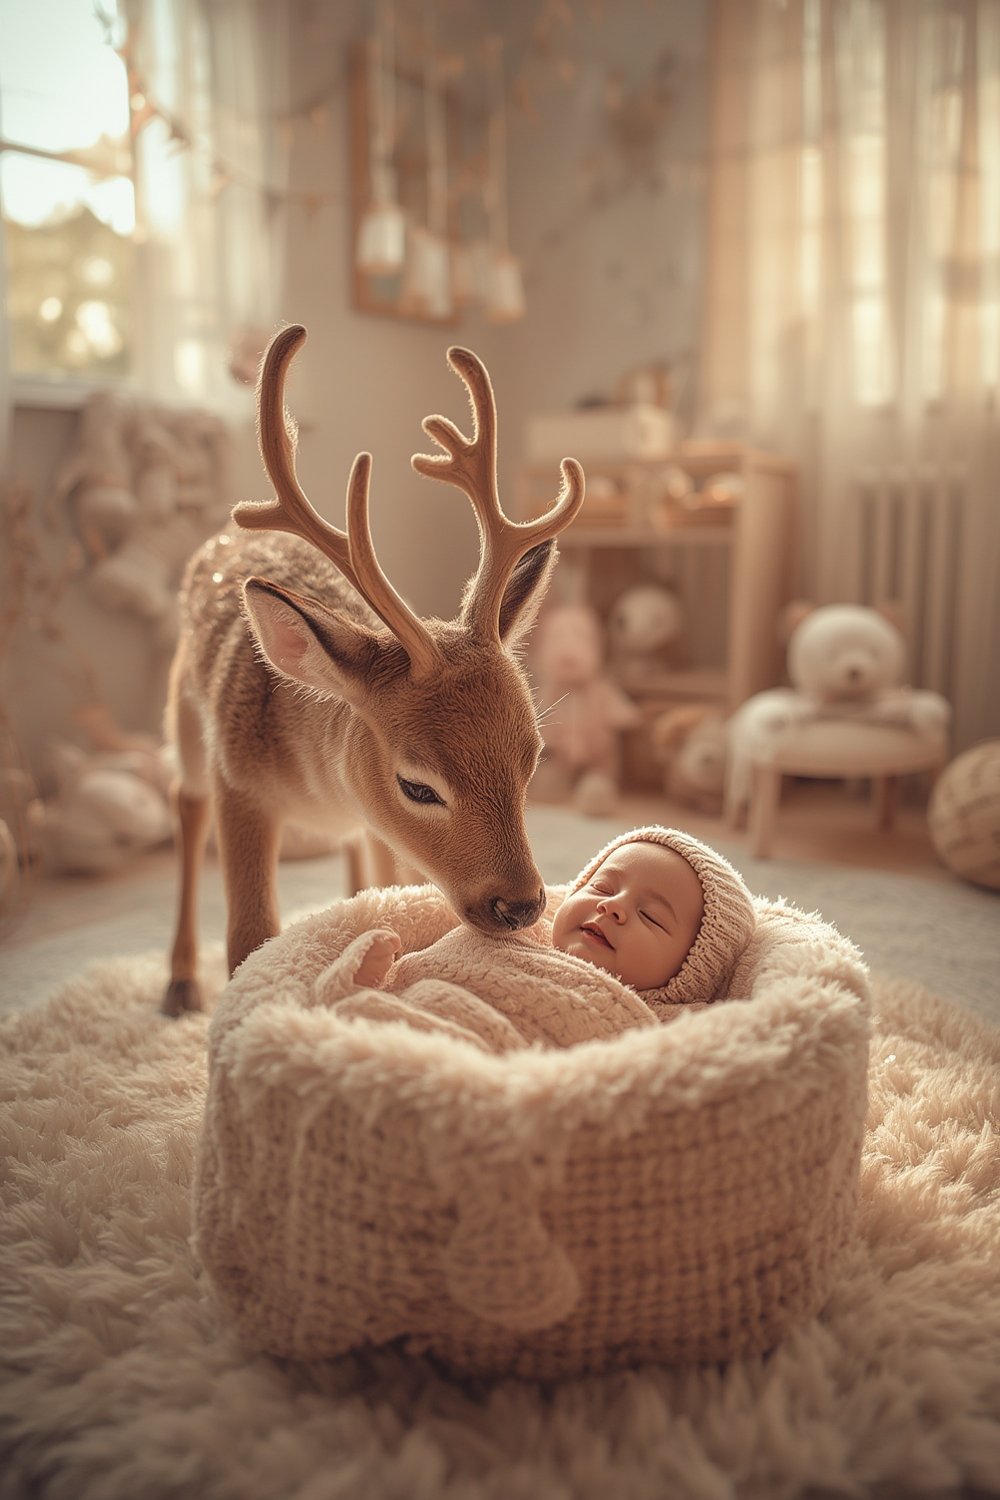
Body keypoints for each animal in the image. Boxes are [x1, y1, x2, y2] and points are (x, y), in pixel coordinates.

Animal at [161, 324, 585, 1016]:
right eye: (417, 785)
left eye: (533, 758)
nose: (521, 904)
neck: (316, 788)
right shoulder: (240, 784)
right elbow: (248, 939)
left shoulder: (377, 829)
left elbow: (385, 890)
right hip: (185, 718)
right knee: (183, 801)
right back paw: (176, 983)